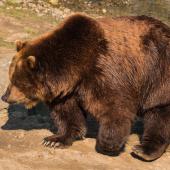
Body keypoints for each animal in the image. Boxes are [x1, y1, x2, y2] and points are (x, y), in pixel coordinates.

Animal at [1, 13, 170, 161]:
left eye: (17, 81)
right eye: (11, 77)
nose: (5, 96)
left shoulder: (105, 71)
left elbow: (115, 107)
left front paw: (108, 144)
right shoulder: (66, 92)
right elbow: (67, 114)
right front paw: (54, 139)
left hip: (157, 73)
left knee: (158, 113)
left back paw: (144, 150)